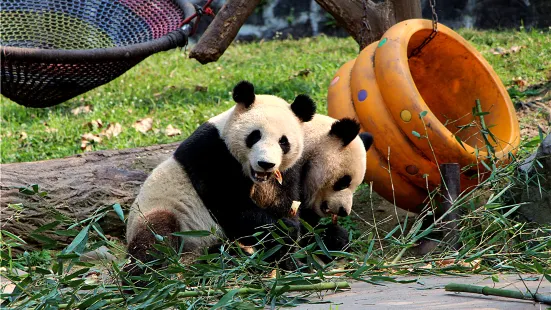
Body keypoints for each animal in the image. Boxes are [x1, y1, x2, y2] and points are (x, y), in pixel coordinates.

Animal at [124, 81, 314, 278]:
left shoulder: (286, 173)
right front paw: (283, 230)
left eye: (283, 142)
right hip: (161, 212)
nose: (265, 163)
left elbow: (283, 203)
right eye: (255, 136)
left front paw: (292, 258)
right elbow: (232, 206)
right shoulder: (211, 154)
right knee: (156, 238)